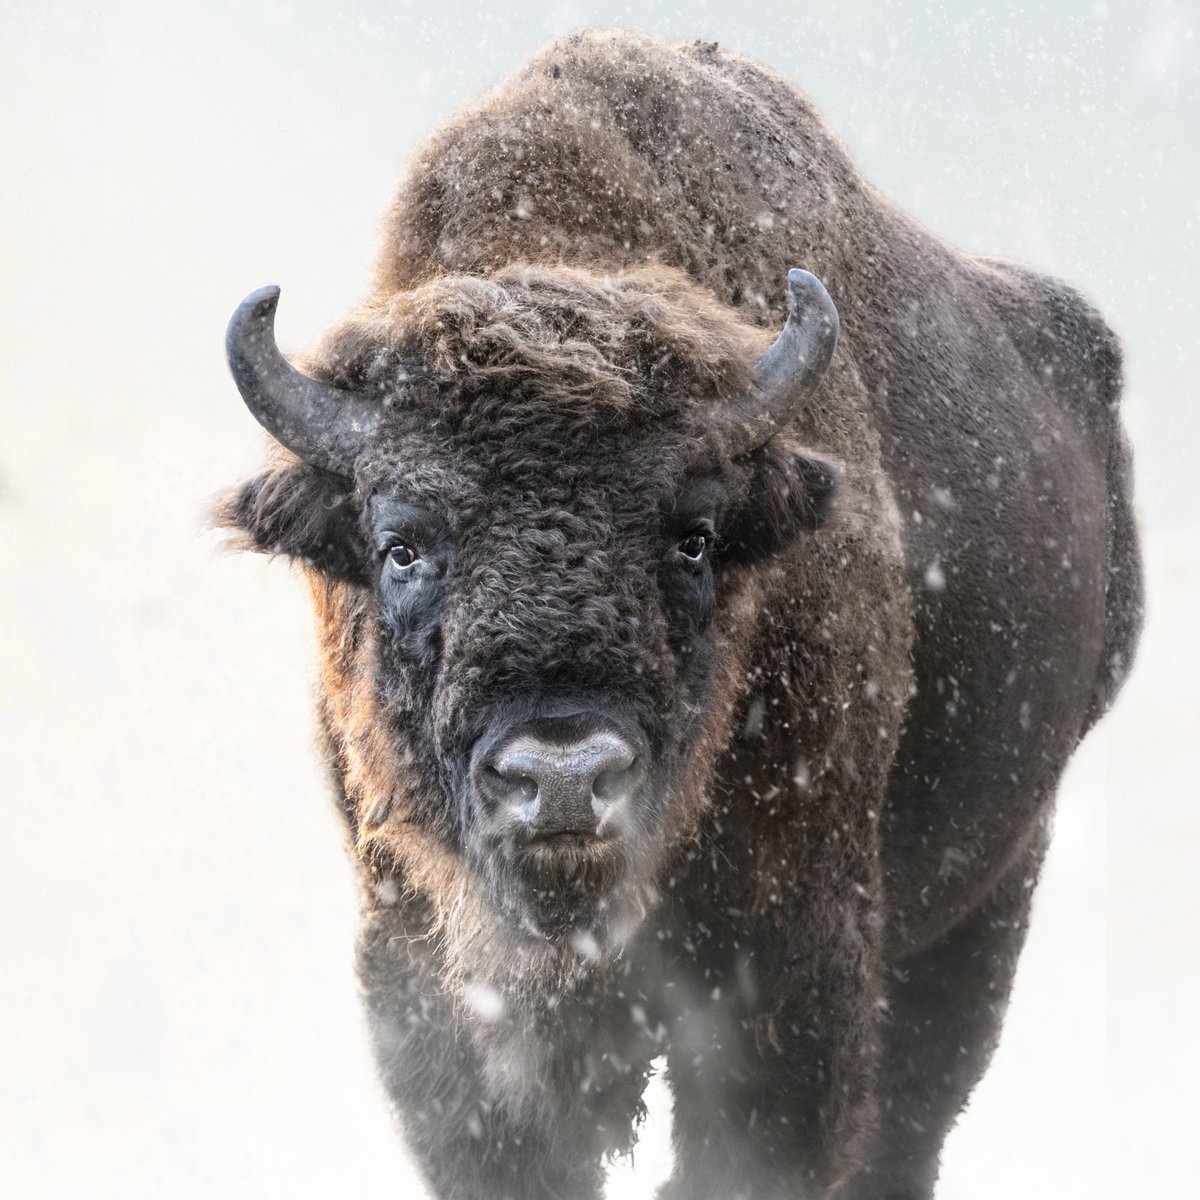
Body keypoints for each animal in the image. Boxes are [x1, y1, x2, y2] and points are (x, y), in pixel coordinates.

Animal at [217, 30, 1141, 1200]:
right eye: (401, 546)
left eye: (694, 536)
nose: (564, 776)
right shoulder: (430, 984)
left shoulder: (788, 973)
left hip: (995, 884)